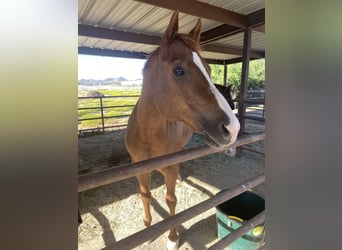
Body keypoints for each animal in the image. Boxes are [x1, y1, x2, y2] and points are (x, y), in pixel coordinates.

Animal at [125, 10, 240, 249]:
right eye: (178, 70)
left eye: (209, 70)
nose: (233, 128)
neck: (148, 134)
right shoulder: (139, 168)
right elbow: (145, 195)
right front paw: (148, 229)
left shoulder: (169, 169)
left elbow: (171, 200)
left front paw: (172, 238)